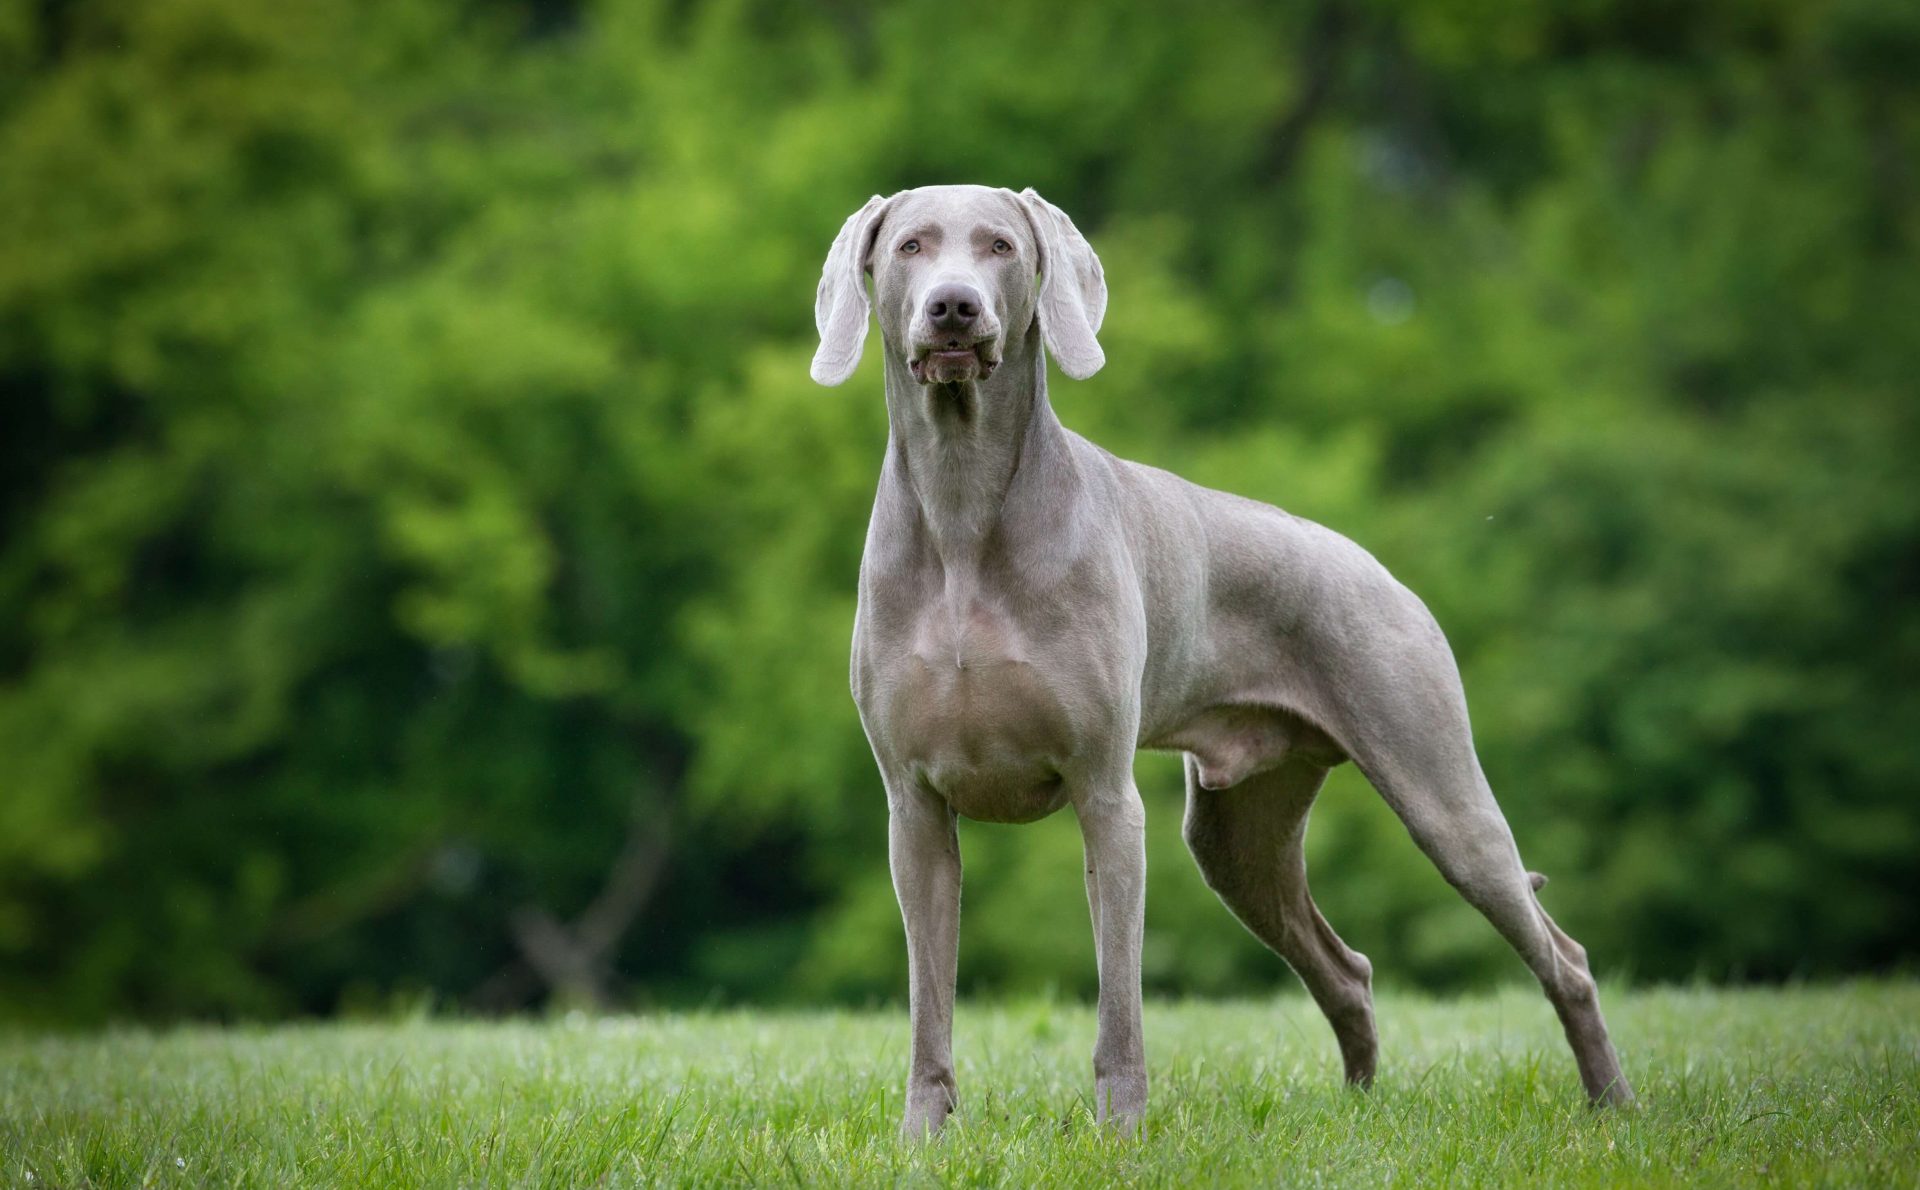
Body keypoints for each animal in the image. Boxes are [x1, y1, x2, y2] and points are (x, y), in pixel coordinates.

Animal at [810, 183, 1635, 1136]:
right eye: (910, 246)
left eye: (1001, 246)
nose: (954, 307)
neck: (962, 508)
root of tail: (1380, 569)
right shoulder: (914, 809)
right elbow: (928, 1003)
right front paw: (923, 1139)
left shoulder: (1105, 795)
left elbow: (1120, 1000)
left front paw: (1119, 1133)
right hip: (1238, 834)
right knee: (1345, 969)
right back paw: (1359, 1111)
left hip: (1440, 791)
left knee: (1562, 955)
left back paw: (1613, 1104)